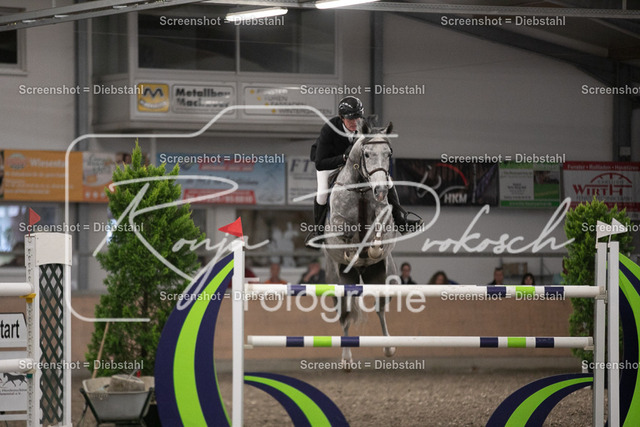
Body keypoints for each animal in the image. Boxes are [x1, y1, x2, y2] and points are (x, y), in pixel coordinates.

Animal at [319, 121, 399, 366]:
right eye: (366, 154)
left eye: (389, 154)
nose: (381, 190)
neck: (363, 189)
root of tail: (362, 273)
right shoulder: (337, 221)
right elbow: (345, 231)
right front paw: (351, 251)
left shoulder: (384, 213)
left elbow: (380, 225)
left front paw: (373, 249)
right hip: (339, 283)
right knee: (345, 316)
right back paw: (346, 359)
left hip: (384, 277)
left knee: (380, 310)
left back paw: (389, 347)